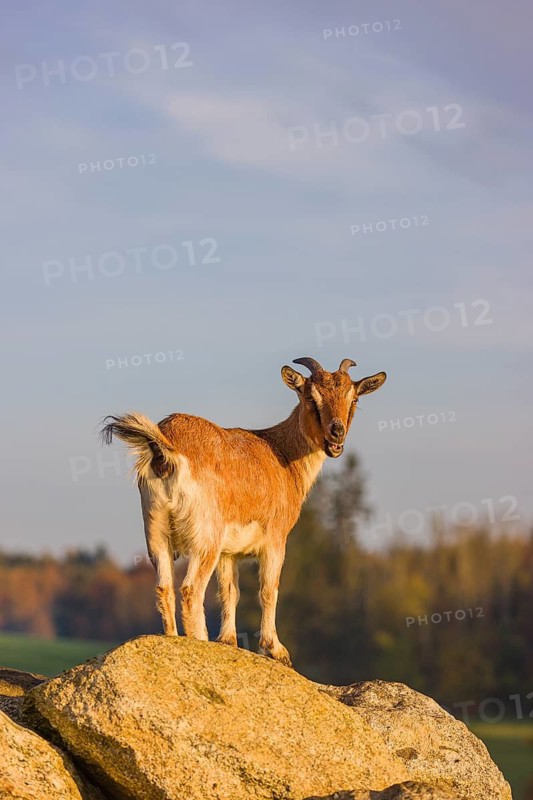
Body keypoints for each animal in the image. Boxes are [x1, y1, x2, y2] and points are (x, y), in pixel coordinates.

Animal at [101, 357, 386, 666]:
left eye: (354, 398)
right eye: (311, 397)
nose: (336, 433)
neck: (281, 454)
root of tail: (165, 450)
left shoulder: (229, 553)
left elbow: (230, 591)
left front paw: (228, 640)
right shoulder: (275, 539)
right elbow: (269, 589)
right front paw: (276, 649)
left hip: (156, 531)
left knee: (163, 587)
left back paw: (174, 640)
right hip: (206, 537)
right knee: (191, 589)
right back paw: (199, 643)